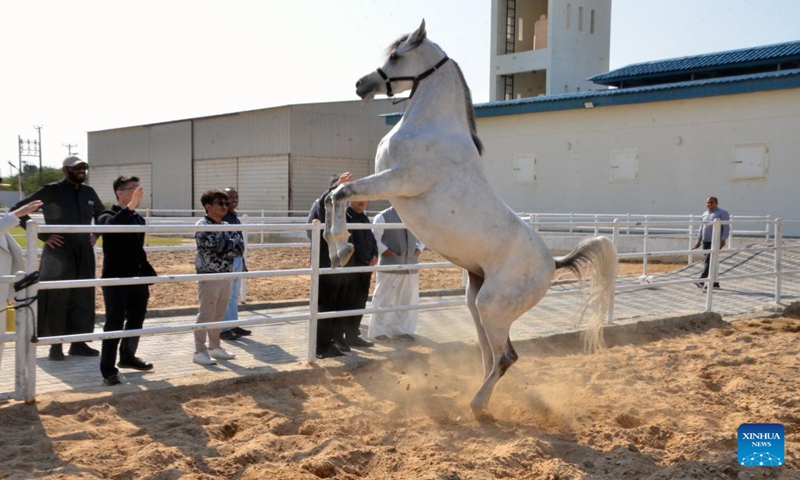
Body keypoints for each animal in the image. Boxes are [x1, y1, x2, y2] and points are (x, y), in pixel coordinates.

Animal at [324, 20, 620, 420]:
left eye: (397, 56)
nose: (361, 85)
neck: (431, 128)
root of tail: (553, 263)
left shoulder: (398, 181)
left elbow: (341, 193)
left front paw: (340, 249)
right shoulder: (387, 184)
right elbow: (335, 196)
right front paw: (337, 248)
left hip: (492, 307)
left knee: (506, 357)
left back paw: (477, 405)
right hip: (475, 300)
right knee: (490, 356)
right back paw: (482, 400)